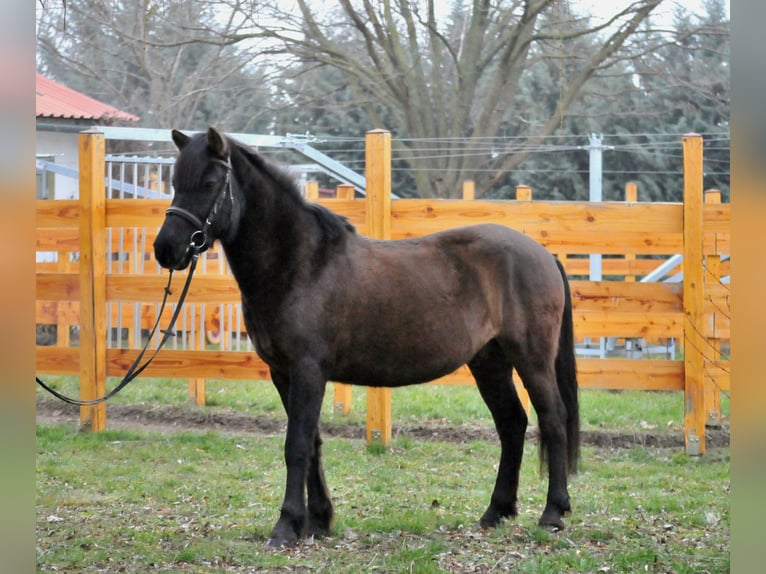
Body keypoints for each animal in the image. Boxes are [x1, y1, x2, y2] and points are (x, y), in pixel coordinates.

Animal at [153, 127, 580, 548]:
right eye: (175, 182)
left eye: (209, 183)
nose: (166, 248)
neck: (300, 264)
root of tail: (542, 253)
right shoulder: (284, 373)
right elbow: (311, 443)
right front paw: (317, 520)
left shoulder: (308, 371)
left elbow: (296, 445)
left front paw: (286, 526)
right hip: (489, 362)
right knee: (512, 423)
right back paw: (496, 512)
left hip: (531, 359)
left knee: (552, 419)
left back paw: (553, 513)